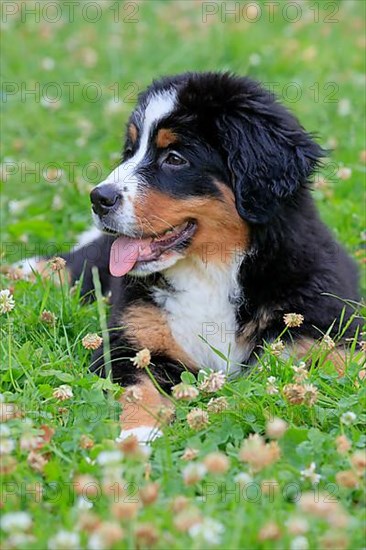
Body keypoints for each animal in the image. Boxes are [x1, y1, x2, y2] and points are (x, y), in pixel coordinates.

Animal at [28, 72, 364, 444]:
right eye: (130, 152)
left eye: (175, 158)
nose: (98, 198)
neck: (212, 269)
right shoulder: (130, 340)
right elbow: (137, 387)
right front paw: (137, 436)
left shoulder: (322, 330)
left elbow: (346, 362)